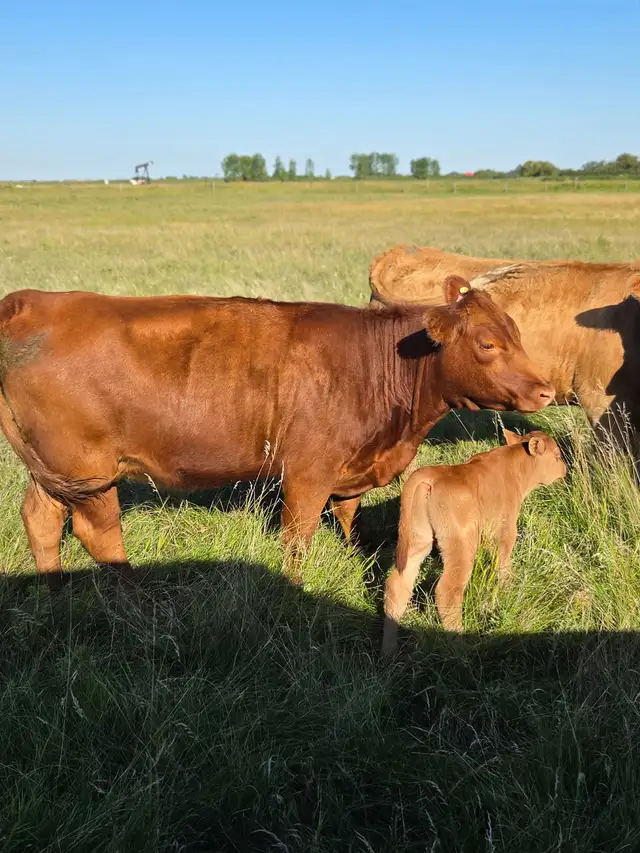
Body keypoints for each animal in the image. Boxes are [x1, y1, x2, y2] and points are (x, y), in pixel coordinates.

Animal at [0, 278, 553, 587]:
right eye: (487, 343)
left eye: (518, 333)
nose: (546, 390)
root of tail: (30, 302)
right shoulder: (307, 472)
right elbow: (298, 538)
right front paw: (296, 587)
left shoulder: (351, 467)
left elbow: (348, 517)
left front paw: (352, 557)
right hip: (88, 472)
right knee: (100, 537)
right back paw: (139, 601)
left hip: (52, 469)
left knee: (41, 521)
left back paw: (55, 590)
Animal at [381, 428, 567, 654]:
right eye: (557, 456)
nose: (565, 469)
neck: (515, 467)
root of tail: (431, 474)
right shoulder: (506, 531)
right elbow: (503, 566)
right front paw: (506, 592)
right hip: (460, 545)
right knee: (448, 590)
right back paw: (461, 646)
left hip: (418, 539)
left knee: (398, 584)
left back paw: (388, 650)